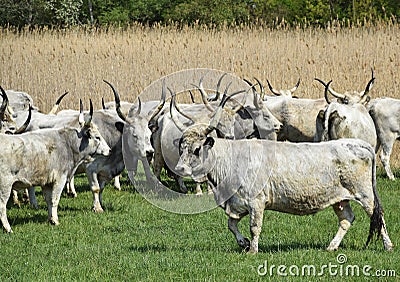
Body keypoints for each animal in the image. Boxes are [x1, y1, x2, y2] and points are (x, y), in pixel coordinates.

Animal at [170, 98, 392, 253]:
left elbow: (255, 226)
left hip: (365, 195)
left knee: (378, 216)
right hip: (340, 199)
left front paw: (253, 249)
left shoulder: (256, 202)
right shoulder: (237, 203)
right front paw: (243, 243)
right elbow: (231, 225)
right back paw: (331, 246)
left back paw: (388, 246)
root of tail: (357, 143)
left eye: (197, 149)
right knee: (347, 219)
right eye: (182, 148)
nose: (180, 169)